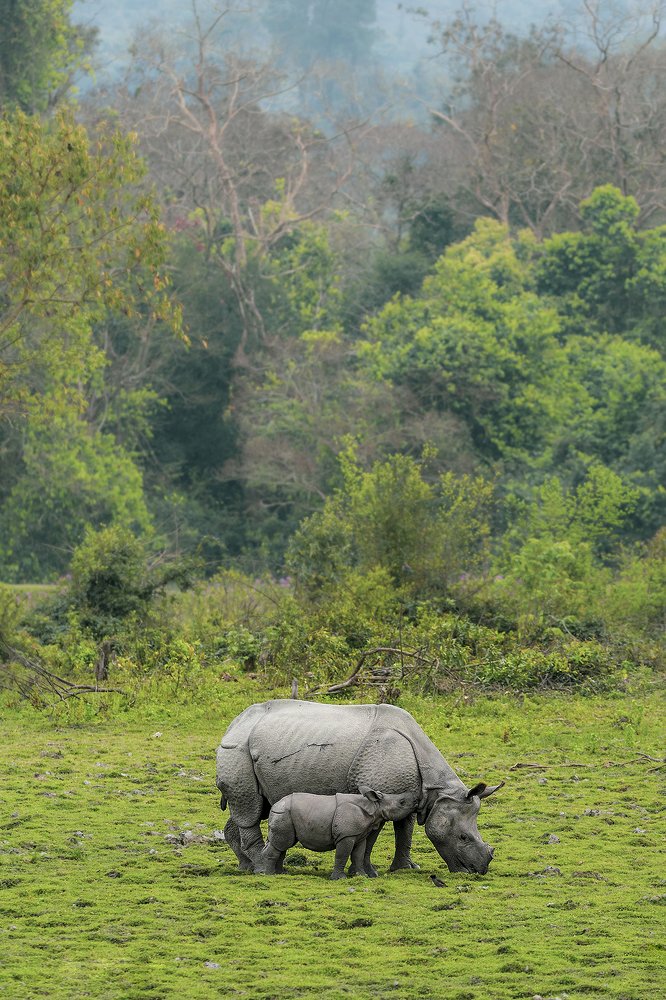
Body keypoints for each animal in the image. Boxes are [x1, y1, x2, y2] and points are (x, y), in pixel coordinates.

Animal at [216, 699, 503, 876]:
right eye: (463, 837)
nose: (477, 871)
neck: (437, 791)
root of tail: (233, 723)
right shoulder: (377, 795)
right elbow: (371, 835)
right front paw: (367, 872)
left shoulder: (413, 796)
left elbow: (405, 830)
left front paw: (406, 868)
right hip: (237, 749)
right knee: (249, 809)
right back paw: (260, 868)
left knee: (253, 807)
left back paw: (249, 867)